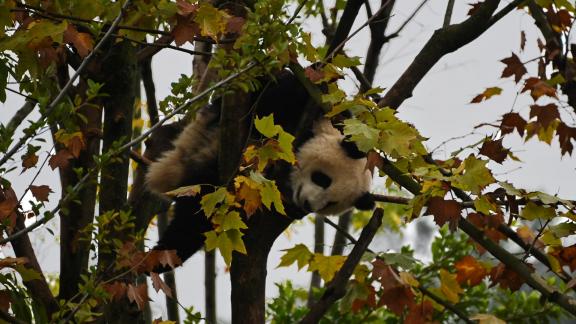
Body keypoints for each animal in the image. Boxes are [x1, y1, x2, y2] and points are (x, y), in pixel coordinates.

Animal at [145, 71, 374, 268]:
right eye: (322, 179)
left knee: (195, 219)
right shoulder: (315, 104)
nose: (308, 204)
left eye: (330, 203)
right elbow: (275, 96)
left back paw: (162, 259)